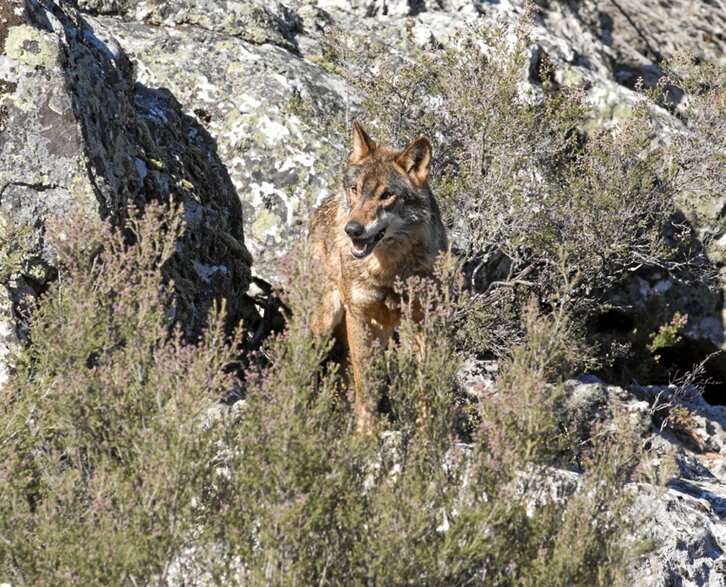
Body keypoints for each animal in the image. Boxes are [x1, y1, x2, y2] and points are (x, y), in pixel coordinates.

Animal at [309, 122, 447, 432]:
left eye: (386, 195)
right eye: (355, 190)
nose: (352, 229)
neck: (389, 272)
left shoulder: (422, 320)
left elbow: (424, 382)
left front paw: (426, 432)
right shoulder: (361, 317)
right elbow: (366, 383)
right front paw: (366, 434)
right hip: (324, 324)